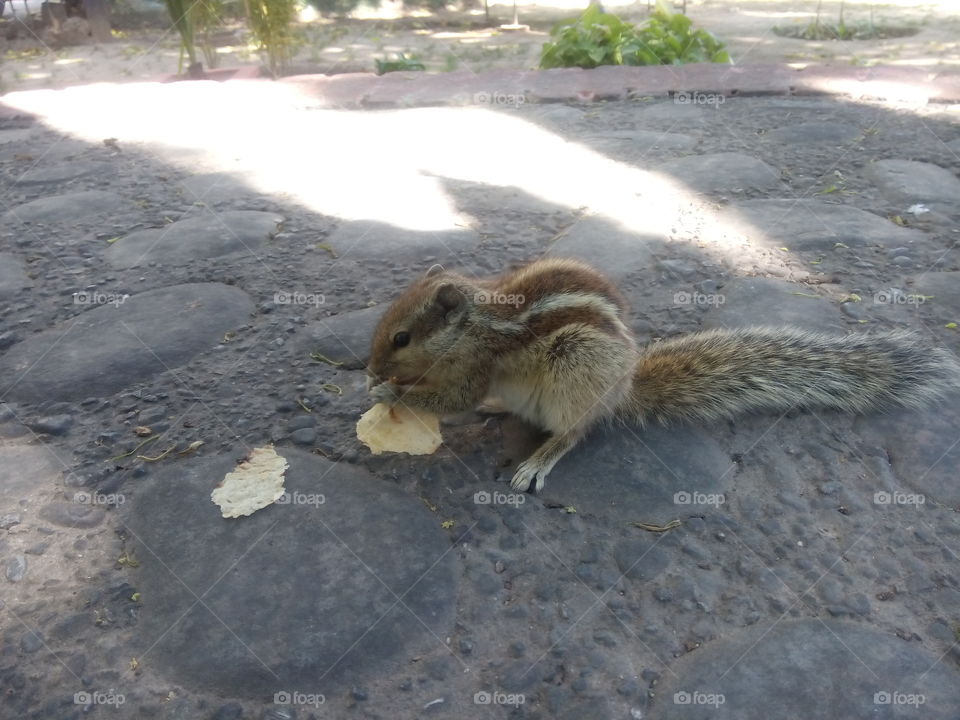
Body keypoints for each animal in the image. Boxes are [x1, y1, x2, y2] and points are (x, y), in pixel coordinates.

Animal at [367, 258, 960, 493]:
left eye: (402, 339)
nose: (370, 366)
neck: (476, 322)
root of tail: (622, 389)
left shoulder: (476, 365)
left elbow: (452, 398)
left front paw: (390, 391)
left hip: (577, 370)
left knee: (575, 432)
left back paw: (539, 459)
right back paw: (499, 408)